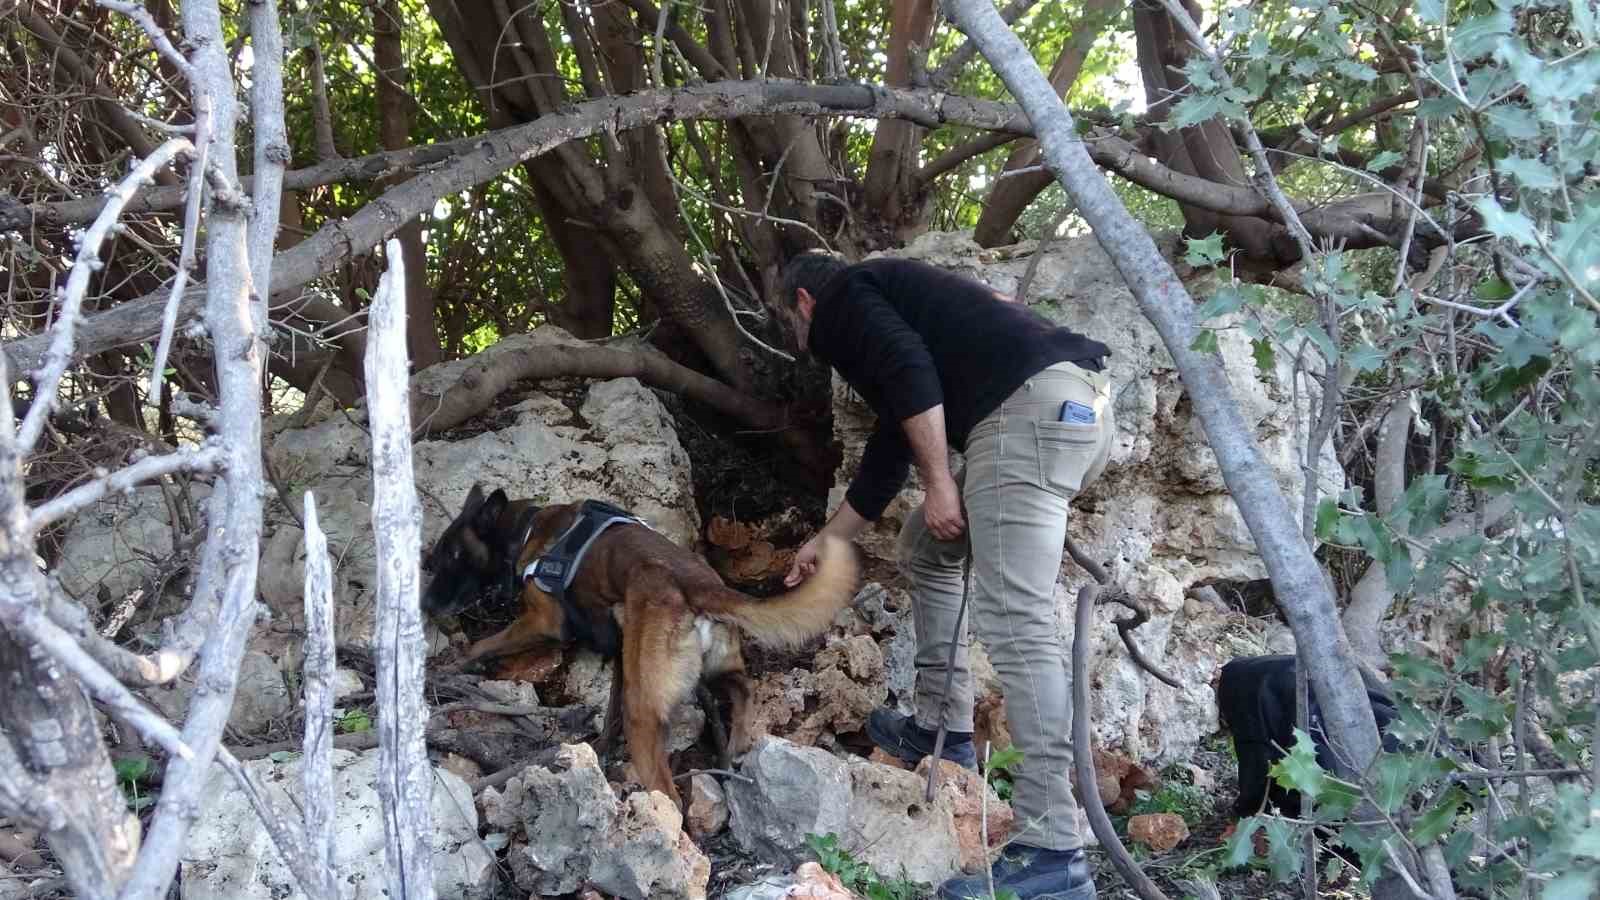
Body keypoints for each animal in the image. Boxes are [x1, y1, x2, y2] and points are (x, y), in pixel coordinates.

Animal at [419, 483, 857, 807]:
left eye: (453, 555)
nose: (425, 604)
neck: (527, 529)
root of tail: (699, 584)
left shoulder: (543, 622)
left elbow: (486, 644)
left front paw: (453, 665)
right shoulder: (619, 653)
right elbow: (610, 706)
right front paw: (601, 745)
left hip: (644, 710)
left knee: (669, 793)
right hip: (715, 664)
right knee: (743, 688)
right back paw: (735, 744)